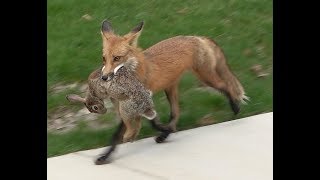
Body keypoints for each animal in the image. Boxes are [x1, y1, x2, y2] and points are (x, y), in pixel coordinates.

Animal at [99, 20, 248, 132]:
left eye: (117, 58)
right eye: (104, 59)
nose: (104, 77)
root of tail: (198, 37)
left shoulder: (143, 97)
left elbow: (150, 120)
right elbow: (149, 120)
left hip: (206, 78)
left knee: (226, 86)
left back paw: (235, 107)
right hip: (173, 87)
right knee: (176, 111)